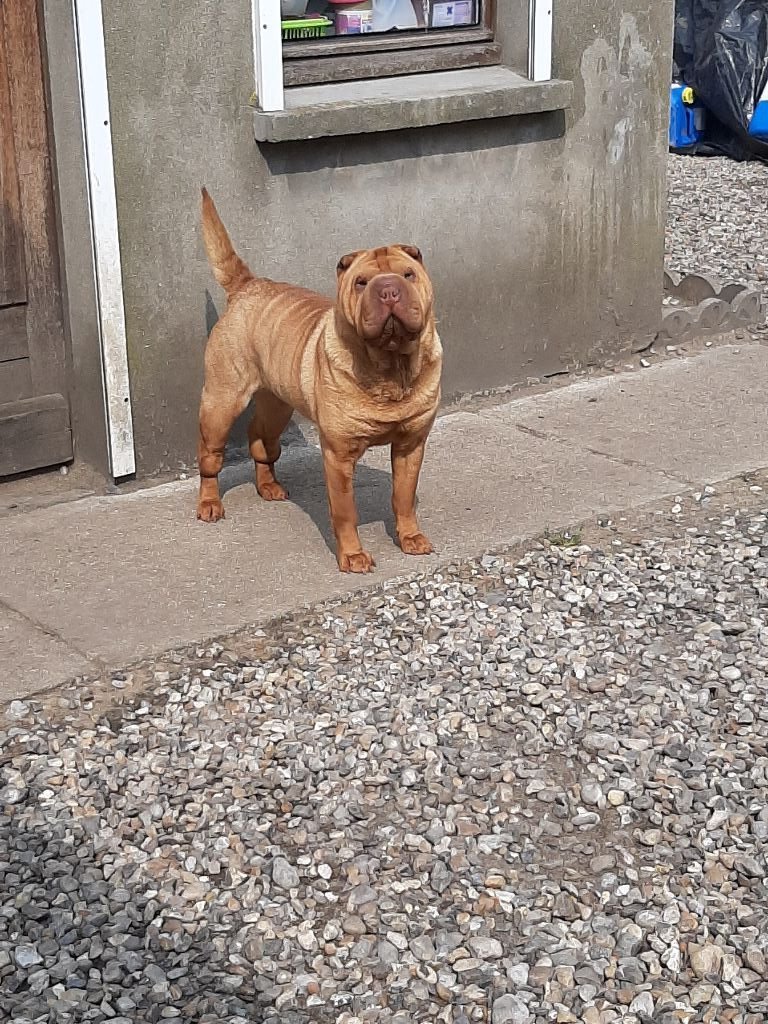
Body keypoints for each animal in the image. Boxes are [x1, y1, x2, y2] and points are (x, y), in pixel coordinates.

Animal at [197, 189, 443, 573]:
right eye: (361, 282)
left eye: (408, 274)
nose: (389, 289)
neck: (390, 367)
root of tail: (248, 285)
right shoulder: (338, 455)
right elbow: (345, 512)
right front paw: (353, 556)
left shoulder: (410, 445)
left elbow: (403, 497)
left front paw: (411, 537)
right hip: (221, 403)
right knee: (210, 457)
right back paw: (209, 504)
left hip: (277, 407)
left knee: (260, 440)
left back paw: (269, 487)